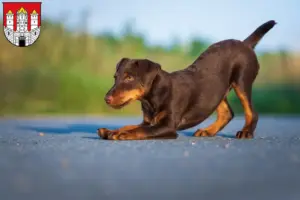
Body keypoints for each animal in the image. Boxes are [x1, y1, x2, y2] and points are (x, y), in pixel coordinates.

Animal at [98, 19, 276, 140]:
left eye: (129, 77)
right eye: (115, 77)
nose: (106, 99)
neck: (153, 97)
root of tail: (245, 44)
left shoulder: (167, 126)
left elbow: (139, 130)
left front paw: (122, 134)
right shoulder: (149, 122)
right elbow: (130, 125)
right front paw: (111, 131)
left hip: (242, 81)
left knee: (251, 112)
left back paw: (246, 132)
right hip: (216, 91)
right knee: (227, 113)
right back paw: (207, 131)